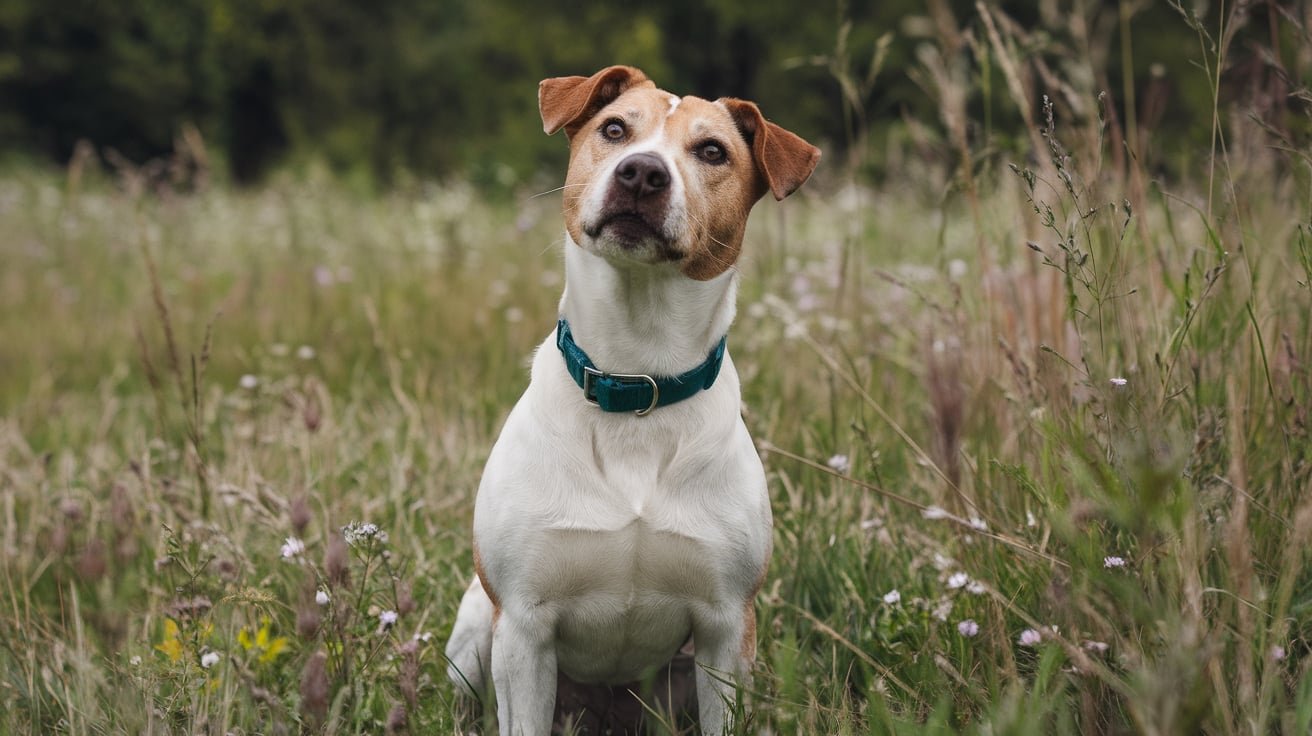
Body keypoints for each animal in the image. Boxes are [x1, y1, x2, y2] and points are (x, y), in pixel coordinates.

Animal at [451, 65, 818, 729]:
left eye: (712, 151)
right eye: (615, 129)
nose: (643, 173)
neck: (636, 379)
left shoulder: (727, 630)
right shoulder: (522, 629)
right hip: (473, 633)